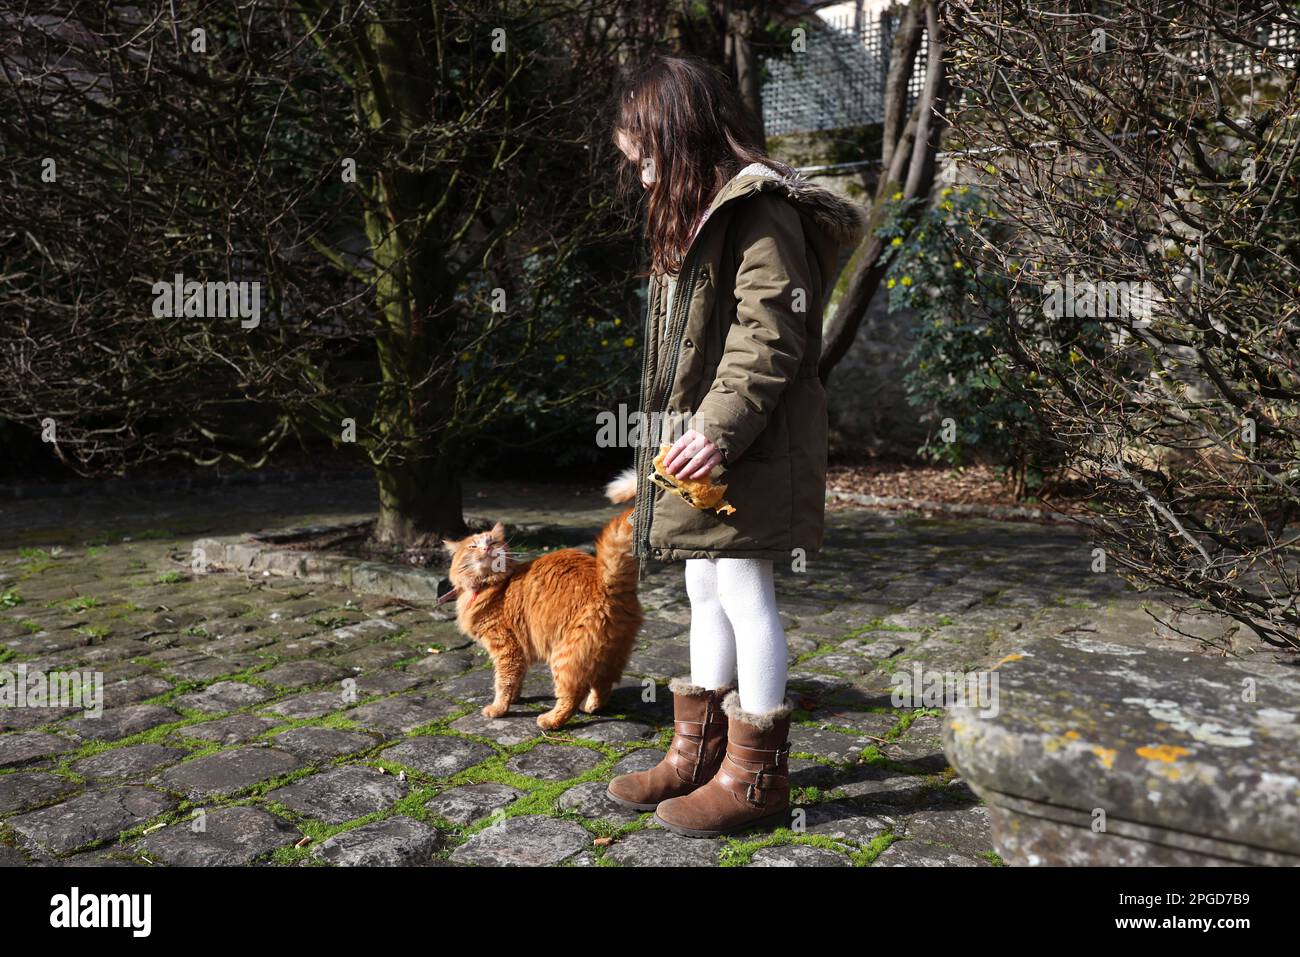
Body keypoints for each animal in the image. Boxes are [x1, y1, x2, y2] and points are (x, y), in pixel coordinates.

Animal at [439, 470, 642, 733]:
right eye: (473, 546)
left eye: (492, 542)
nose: (486, 549)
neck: (491, 586)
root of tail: (605, 581)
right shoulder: (518, 650)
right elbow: (516, 679)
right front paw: (515, 699)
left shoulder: (505, 647)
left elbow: (503, 682)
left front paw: (499, 708)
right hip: (609, 655)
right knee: (603, 685)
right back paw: (592, 707)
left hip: (564, 657)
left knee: (570, 696)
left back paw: (550, 720)